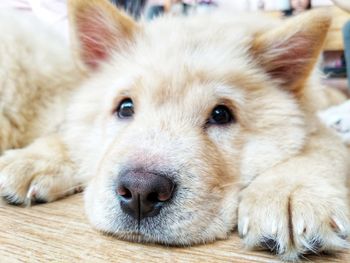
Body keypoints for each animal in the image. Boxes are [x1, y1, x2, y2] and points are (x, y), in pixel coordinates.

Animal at [0, 0, 350, 262]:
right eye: (125, 108)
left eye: (221, 115)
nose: (141, 192)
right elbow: (66, 132)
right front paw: (31, 160)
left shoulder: (317, 126)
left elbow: (320, 146)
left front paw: (290, 194)